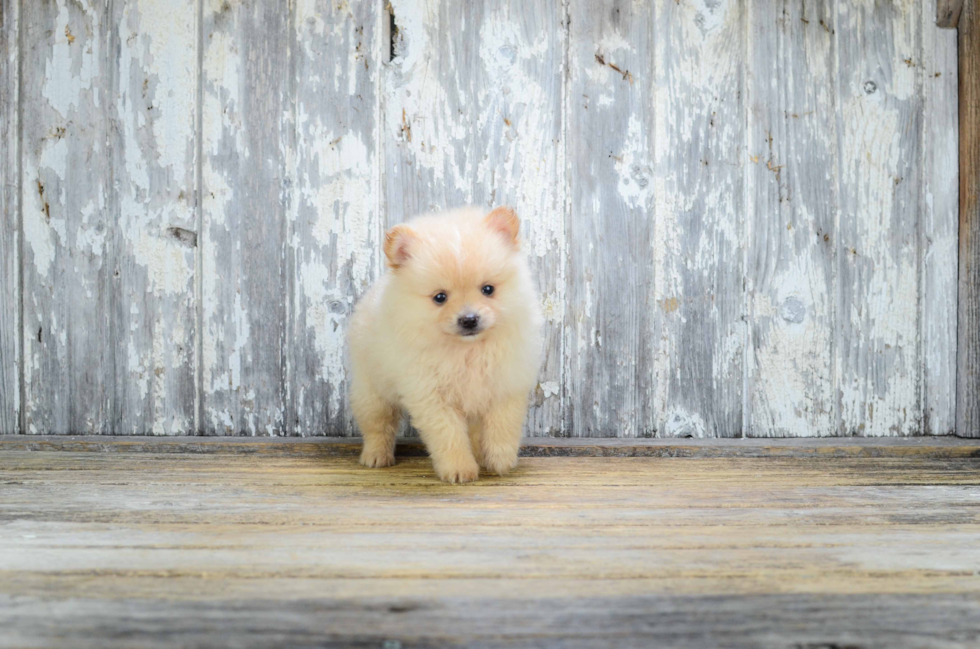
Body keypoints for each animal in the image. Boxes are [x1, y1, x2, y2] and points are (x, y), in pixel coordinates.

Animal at [348, 206, 544, 480]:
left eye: (488, 289)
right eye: (440, 297)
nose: (469, 319)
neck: (467, 350)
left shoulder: (504, 386)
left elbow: (502, 427)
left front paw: (500, 461)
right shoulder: (432, 396)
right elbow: (449, 435)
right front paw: (459, 469)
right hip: (372, 391)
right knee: (378, 425)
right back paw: (376, 456)